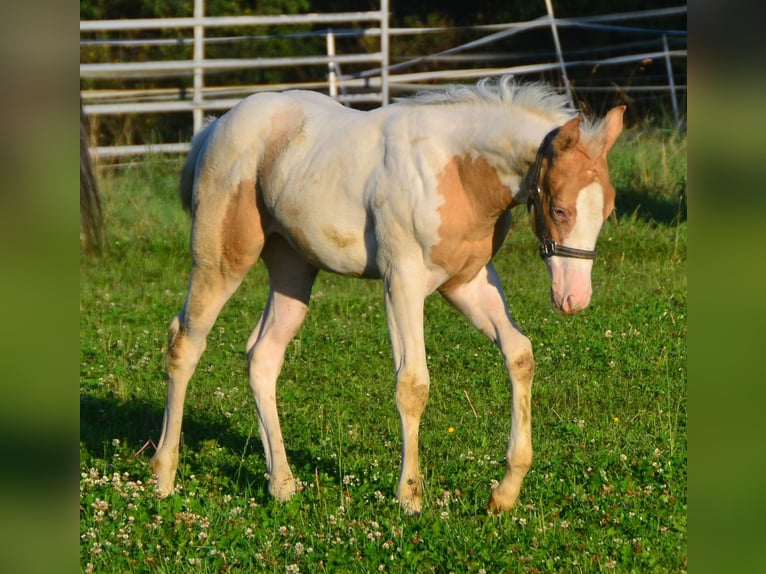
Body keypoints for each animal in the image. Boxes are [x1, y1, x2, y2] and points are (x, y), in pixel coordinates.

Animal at [152, 79, 624, 516]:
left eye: (607, 210)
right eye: (560, 209)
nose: (574, 298)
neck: (456, 169)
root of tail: (213, 129)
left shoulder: (468, 283)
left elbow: (519, 354)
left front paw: (504, 493)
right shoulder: (403, 282)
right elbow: (412, 384)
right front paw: (409, 496)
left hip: (292, 271)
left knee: (263, 357)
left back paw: (281, 484)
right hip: (221, 259)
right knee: (185, 344)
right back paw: (163, 476)